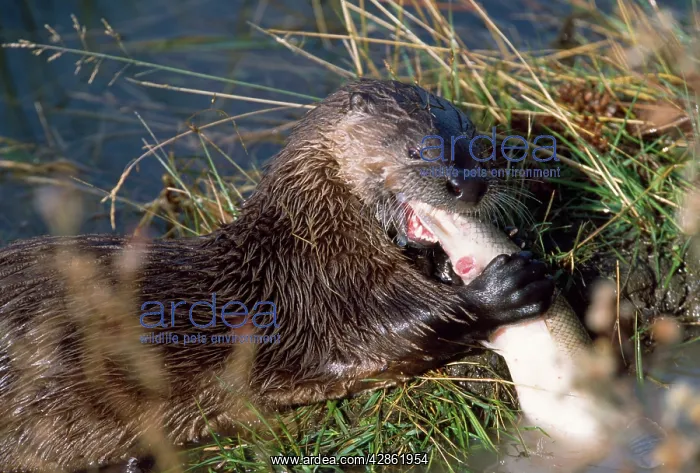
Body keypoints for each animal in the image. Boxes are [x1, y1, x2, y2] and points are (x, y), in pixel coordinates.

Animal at [0, 79, 554, 473]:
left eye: (477, 146)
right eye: (417, 150)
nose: (469, 185)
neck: (311, 237)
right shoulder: (326, 295)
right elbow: (394, 332)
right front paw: (504, 288)